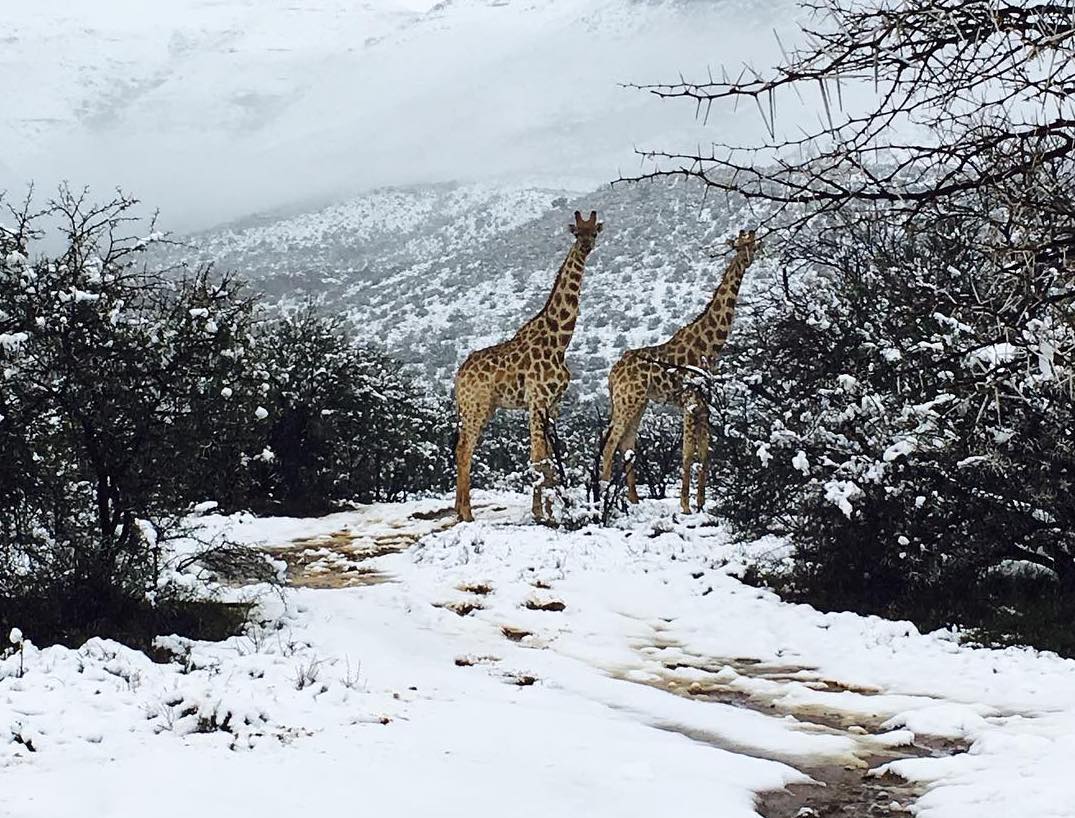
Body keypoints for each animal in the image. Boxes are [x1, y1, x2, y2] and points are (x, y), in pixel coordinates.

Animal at [453, 207, 606, 520]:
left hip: (483, 407)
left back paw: (458, 510)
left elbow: (548, 457)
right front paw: (540, 513)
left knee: (462, 448)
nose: (586, 246)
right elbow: (537, 457)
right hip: (476, 406)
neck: (560, 341)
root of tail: (458, 376)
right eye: (577, 232)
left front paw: (550, 510)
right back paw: (466, 513)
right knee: (464, 449)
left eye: (594, 232)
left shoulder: (553, 404)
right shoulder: (537, 400)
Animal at [602, 226, 761, 513]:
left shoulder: (704, 403)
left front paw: (701, 503)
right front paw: (686, 505)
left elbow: (705, 452)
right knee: (610, 443)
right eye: (737, 245)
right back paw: (603, 496)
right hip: (626, 400)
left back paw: (633, 499)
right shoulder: (690, 400)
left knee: (627, 444)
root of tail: (611, 375)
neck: (710, 346)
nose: (747, 259)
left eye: (753, 244)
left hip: (638, 402)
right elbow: (687, 453)